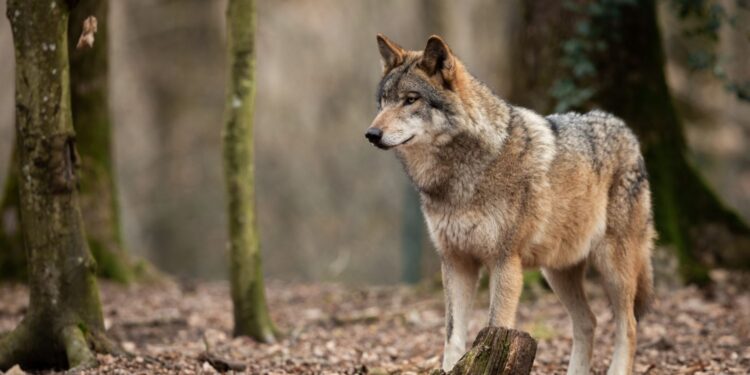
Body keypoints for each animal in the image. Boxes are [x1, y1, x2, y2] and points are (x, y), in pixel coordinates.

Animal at [368, 33, 656, 374]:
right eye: (383, 102)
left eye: (411, 99)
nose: (371, 133)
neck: (460, 177)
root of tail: (627, 130)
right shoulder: (455, 261)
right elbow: (452, 337)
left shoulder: (504, 261)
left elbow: (495, 325)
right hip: (557, 271)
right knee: (589, 321)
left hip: (613, 267)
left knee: (629, 326)